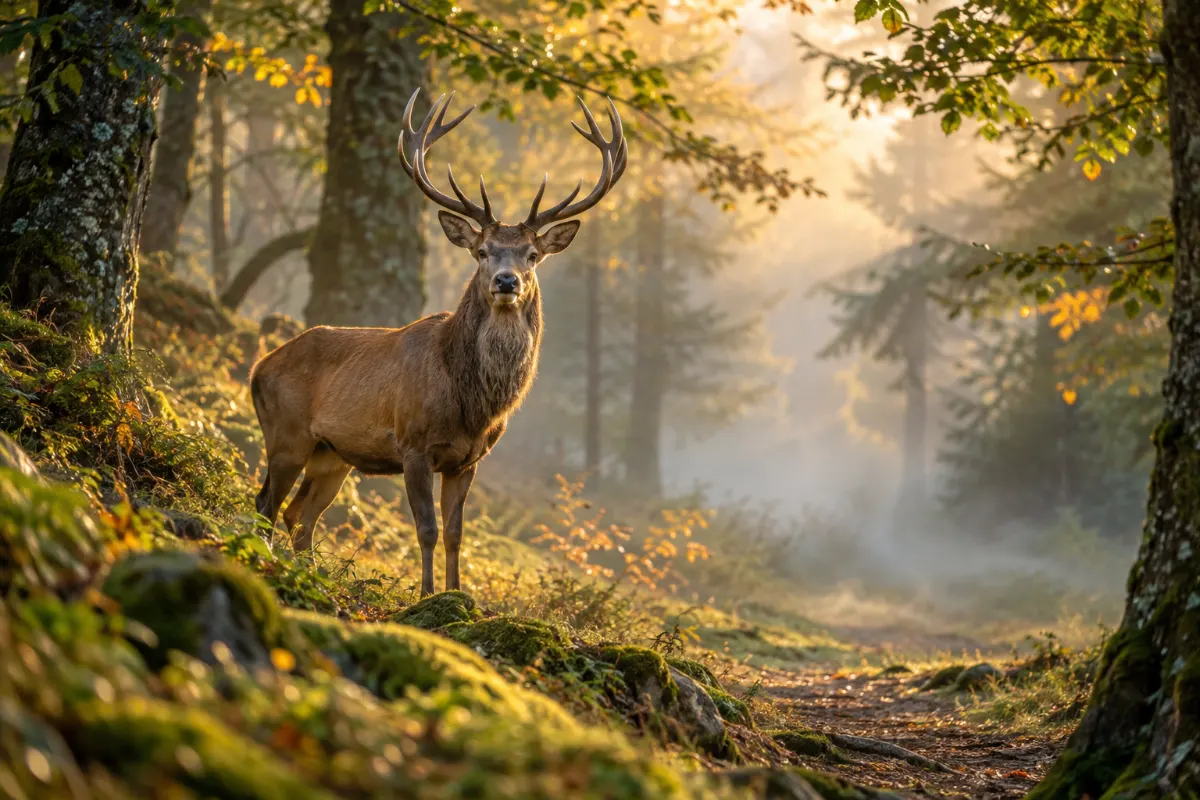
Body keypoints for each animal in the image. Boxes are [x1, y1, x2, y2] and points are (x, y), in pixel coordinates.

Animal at [249, 88, 627, 596]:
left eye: (532, 255)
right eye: (482, 251)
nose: (506, 281)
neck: (471, 403)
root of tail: (259, 366)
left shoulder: (467, 460)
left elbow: (455, 533)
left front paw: (457, 593)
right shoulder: (414, 444)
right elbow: (426, 528)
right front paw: (426, 594)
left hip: (331, 455)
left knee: (299, 515)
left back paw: (311, 577)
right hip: (285, 433)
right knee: (265, 504)